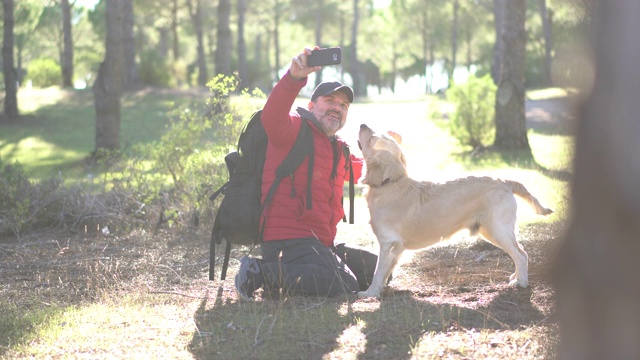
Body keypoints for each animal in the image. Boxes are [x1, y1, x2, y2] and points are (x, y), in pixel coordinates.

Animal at [358, 124, 552, 298]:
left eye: (372, 138)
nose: (362, 125)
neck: (390, 183)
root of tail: (504, 182)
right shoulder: (396, 247)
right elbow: (386, 271)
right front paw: (381, 288)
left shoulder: (387, 242)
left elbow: (378, 271)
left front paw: (369, 293)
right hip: (490, 230)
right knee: (520, 250)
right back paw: (516, 276)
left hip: (497, 229)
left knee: (521, 254)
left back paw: (521, 282)